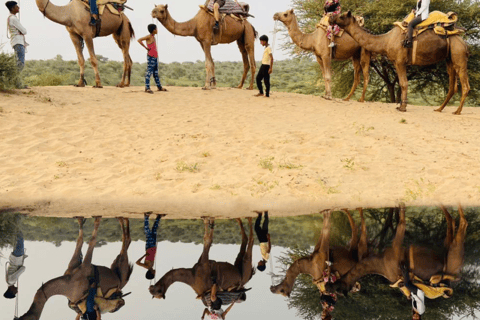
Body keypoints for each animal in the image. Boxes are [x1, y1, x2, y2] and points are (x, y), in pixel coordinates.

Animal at [328, 205, 466, 296]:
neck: (379, 264)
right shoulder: (396, 244)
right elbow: (402, 219)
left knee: (454, 221)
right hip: (453, 251)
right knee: (459, 222)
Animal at [332, 11, 470, 114]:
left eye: (342, 16)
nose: (332, 19)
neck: (386, 40)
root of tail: (463, 41)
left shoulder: (400, 62)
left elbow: (404, 83)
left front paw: (402, 107)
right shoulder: (396, 63)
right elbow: (402, 83)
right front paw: (400, 106)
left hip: (459, 55)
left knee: (465, 85)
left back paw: (457, 111)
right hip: (449, 59)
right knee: (452, 85)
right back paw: (439, 109)